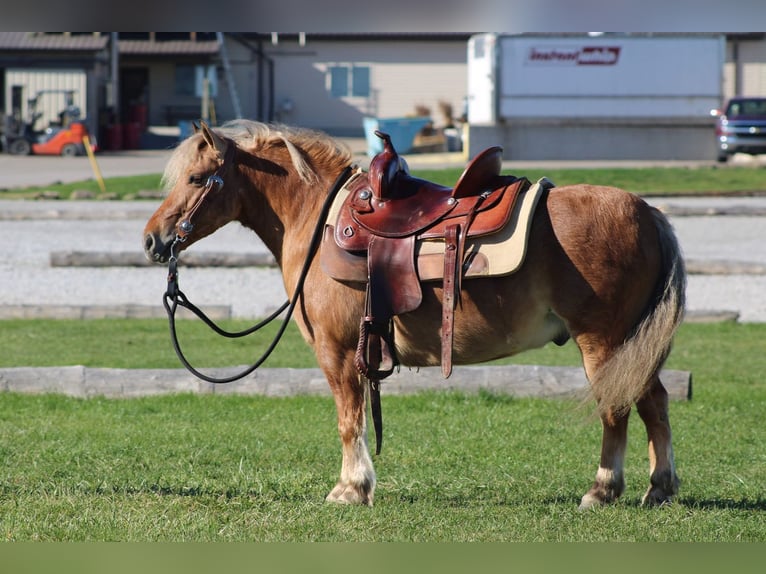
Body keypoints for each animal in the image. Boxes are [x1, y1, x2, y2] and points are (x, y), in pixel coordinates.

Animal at [143, 120, 686, 509]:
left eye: (196, 178)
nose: (152, 240)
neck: (317, 219)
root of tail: (650, 213)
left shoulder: (337, 351)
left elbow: (349, 420)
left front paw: (351, 489)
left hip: (604, 343)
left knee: (616, 409)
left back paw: (602, 489)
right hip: (633, 345)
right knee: (654, 403)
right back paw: (658, 487)